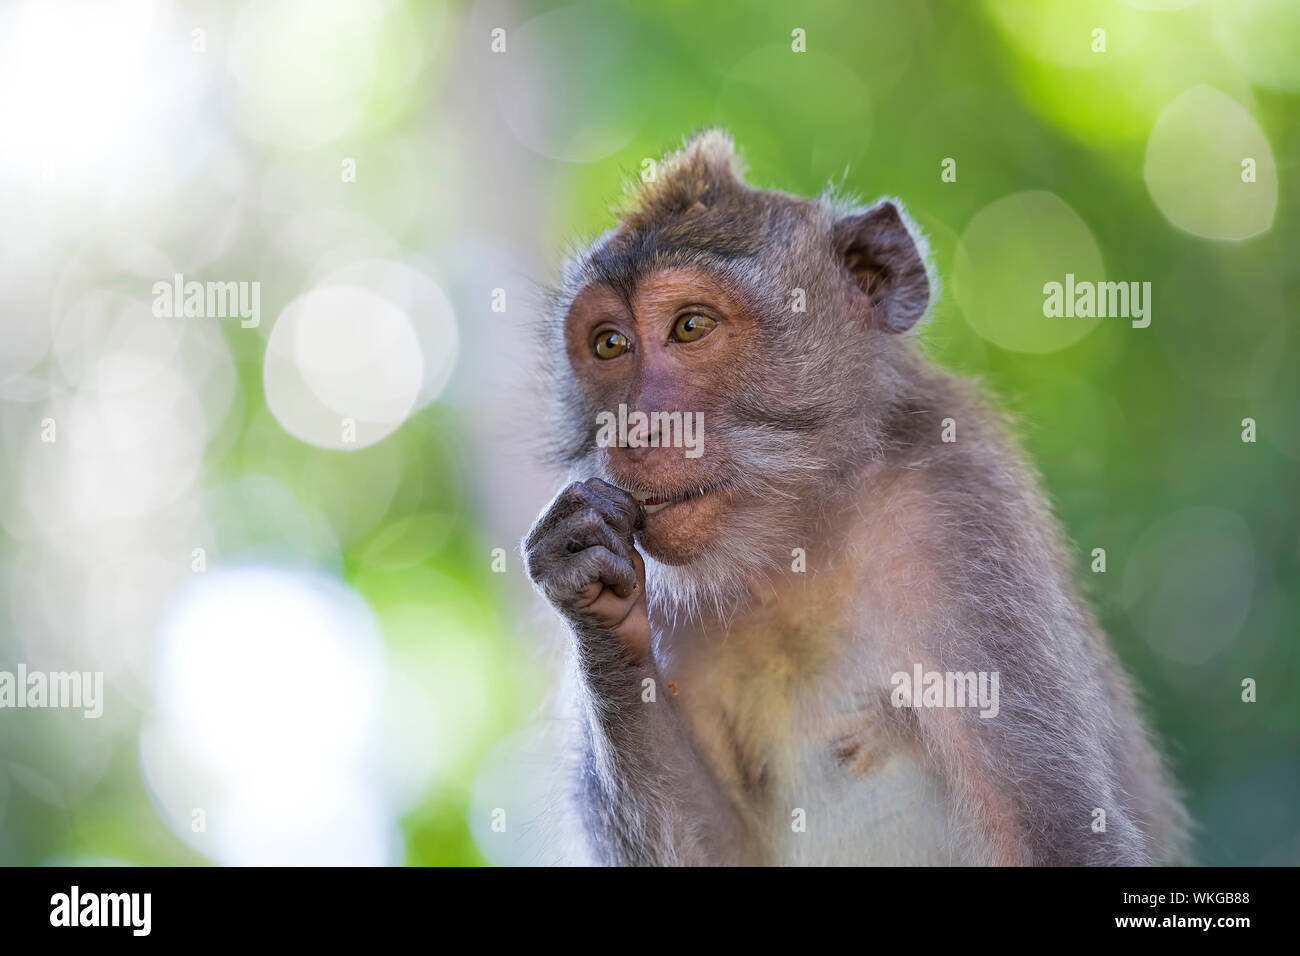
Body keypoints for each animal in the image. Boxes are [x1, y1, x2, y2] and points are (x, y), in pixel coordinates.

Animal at [521, 129, 1188, 866]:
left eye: (690, 327)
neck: (800, 538)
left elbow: (1059, 830)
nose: (633, 429)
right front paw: (591, 596)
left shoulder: (960, 514)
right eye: (610, 344)